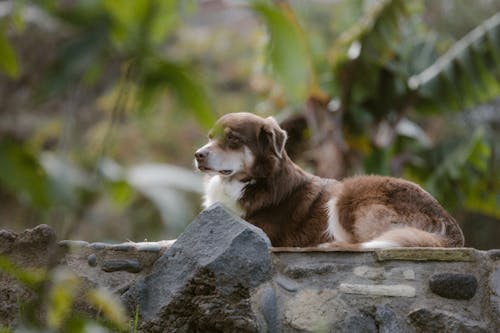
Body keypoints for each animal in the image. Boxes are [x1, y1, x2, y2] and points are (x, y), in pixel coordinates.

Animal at [194, 113, 464, 248]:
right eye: (210, 137)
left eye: (232, 139)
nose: (198, 155)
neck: (252, 181)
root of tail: (449, 223)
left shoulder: (260, 230)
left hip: (349, 193)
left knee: (366, 243)